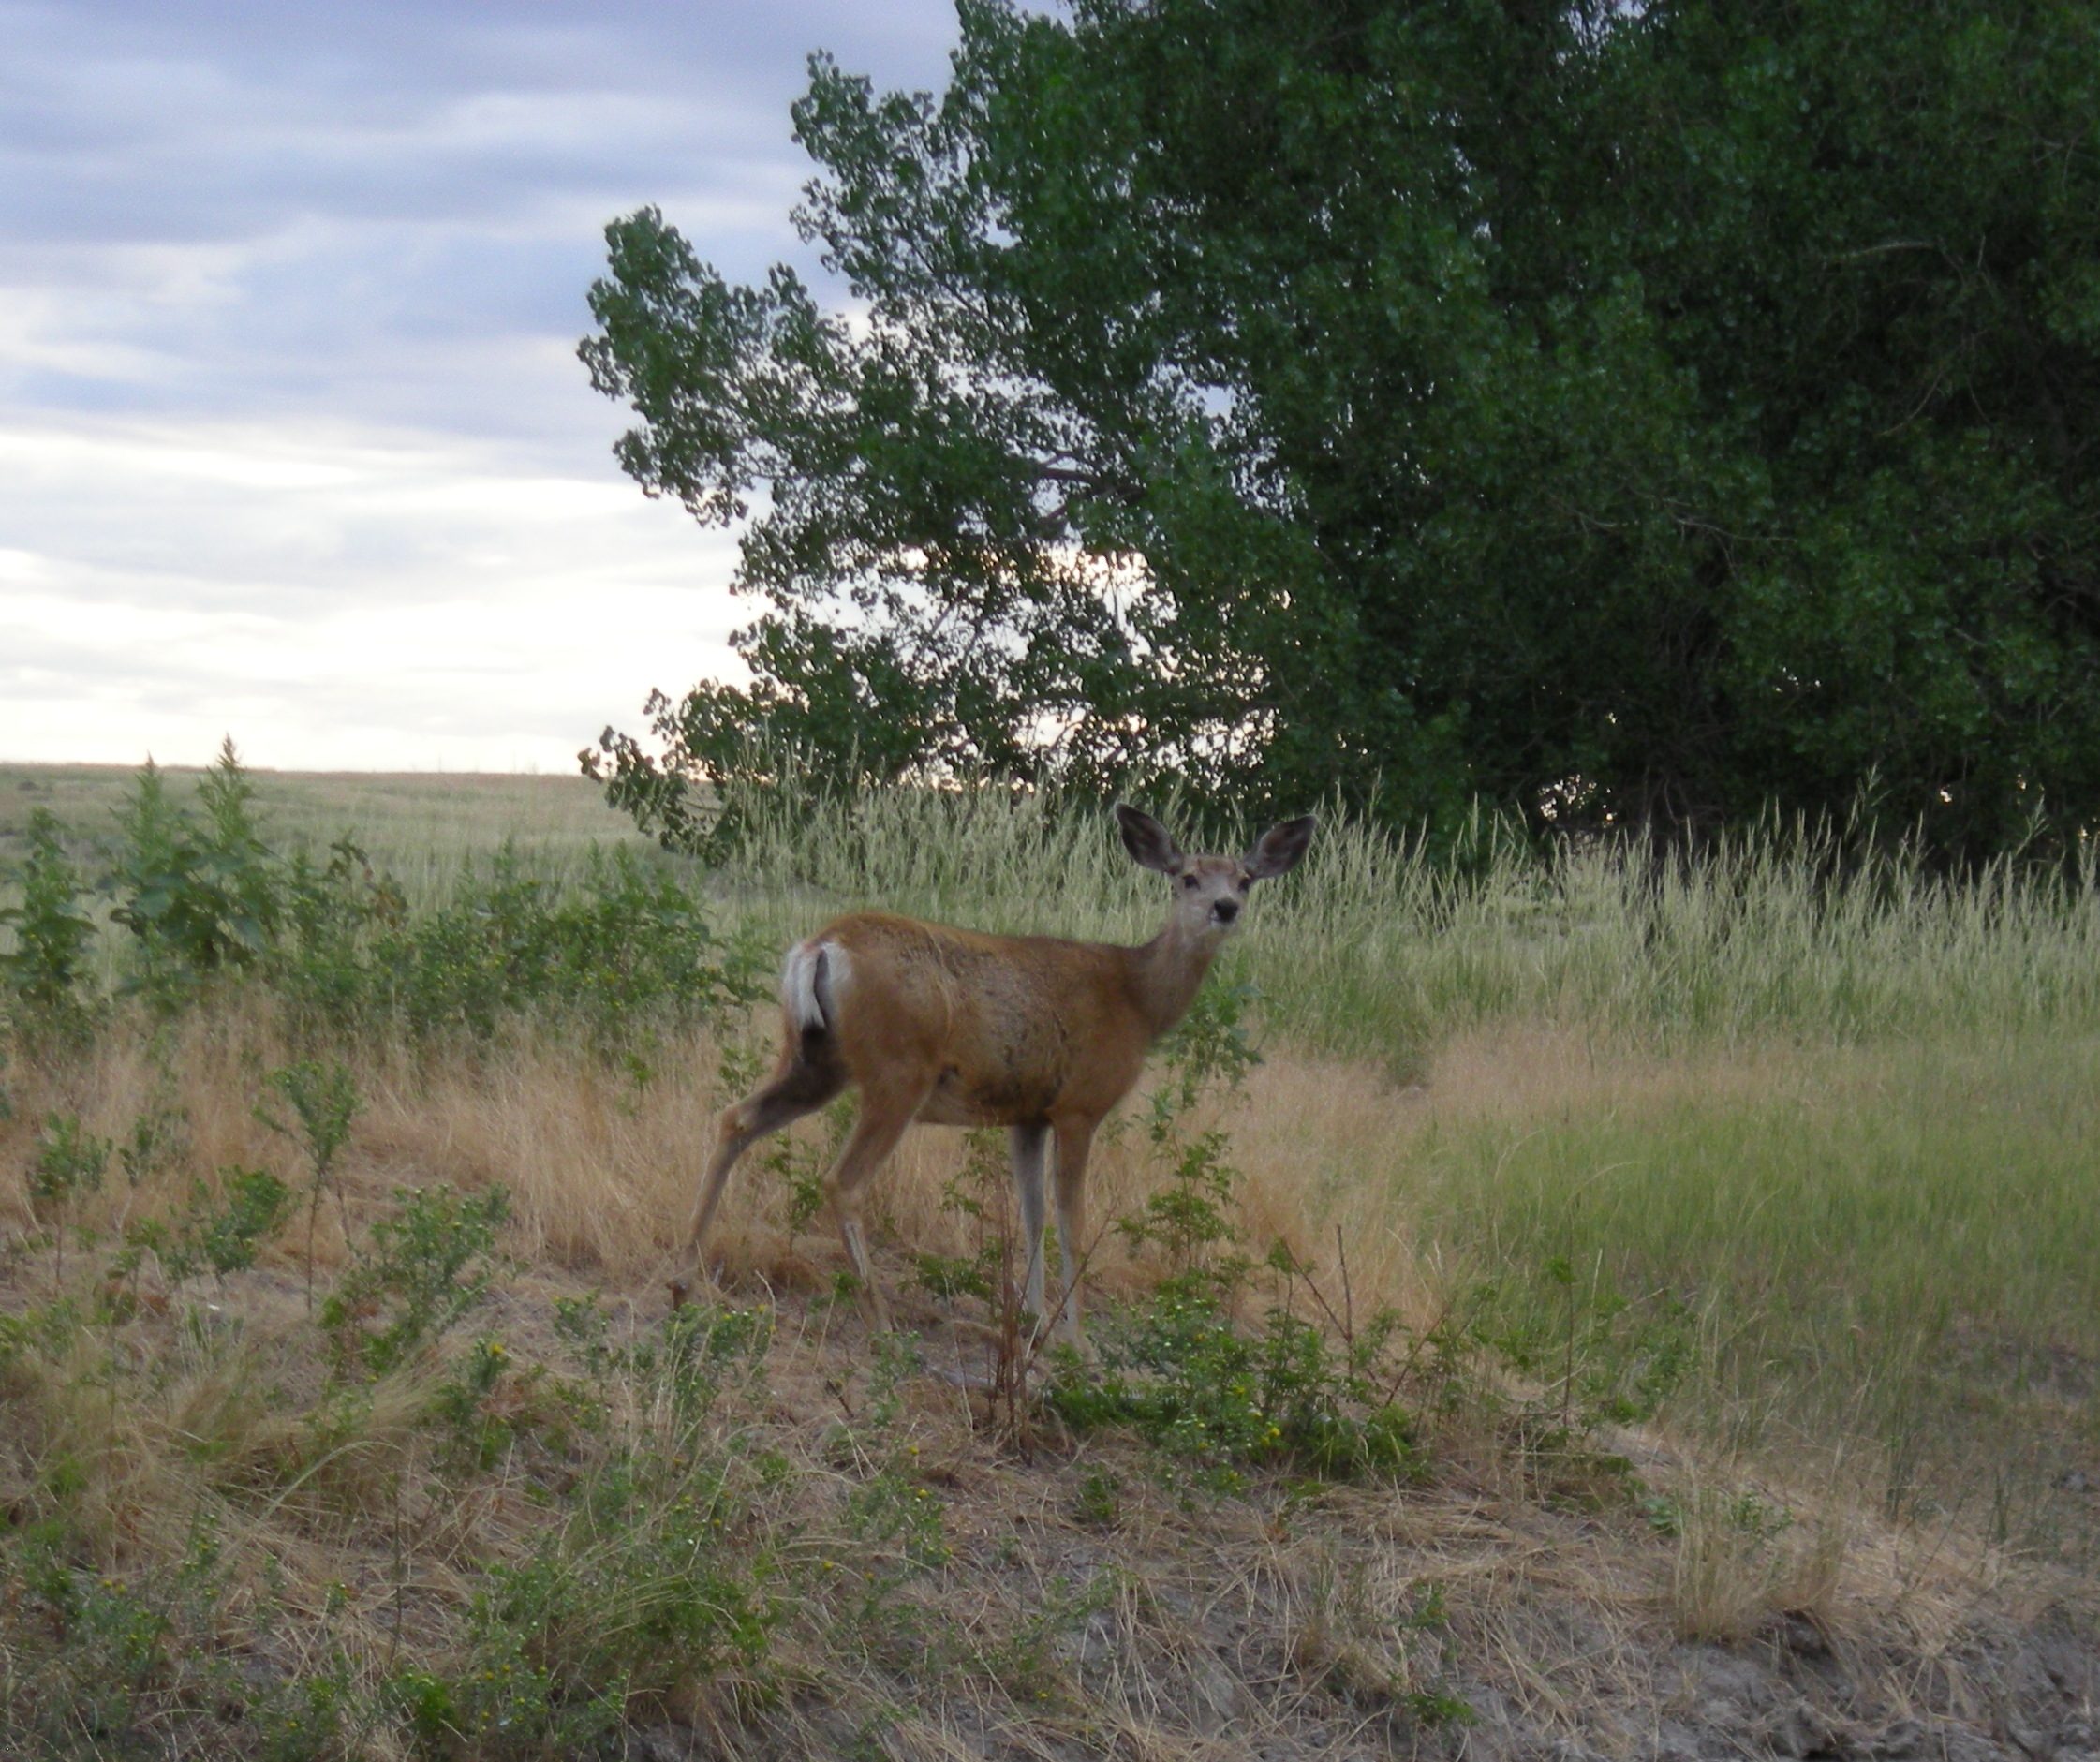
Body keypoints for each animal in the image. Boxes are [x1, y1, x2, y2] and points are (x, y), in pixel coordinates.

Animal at [667, 806, 1310, 1343]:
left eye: (1245, 879)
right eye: (1189, 878)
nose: (1225, 908)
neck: (1137, 1000)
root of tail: (821, 946)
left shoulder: (1028, 1115)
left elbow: (1032, 1215)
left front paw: (1034, 1322)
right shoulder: (1079, 1106)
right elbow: (1072, 1220)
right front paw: (1078, 1341)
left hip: (815, 1060)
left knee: (735, 1119)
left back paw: (682, 1279)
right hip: (897, 1070)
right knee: (842, 1181)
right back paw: (880, 1320)